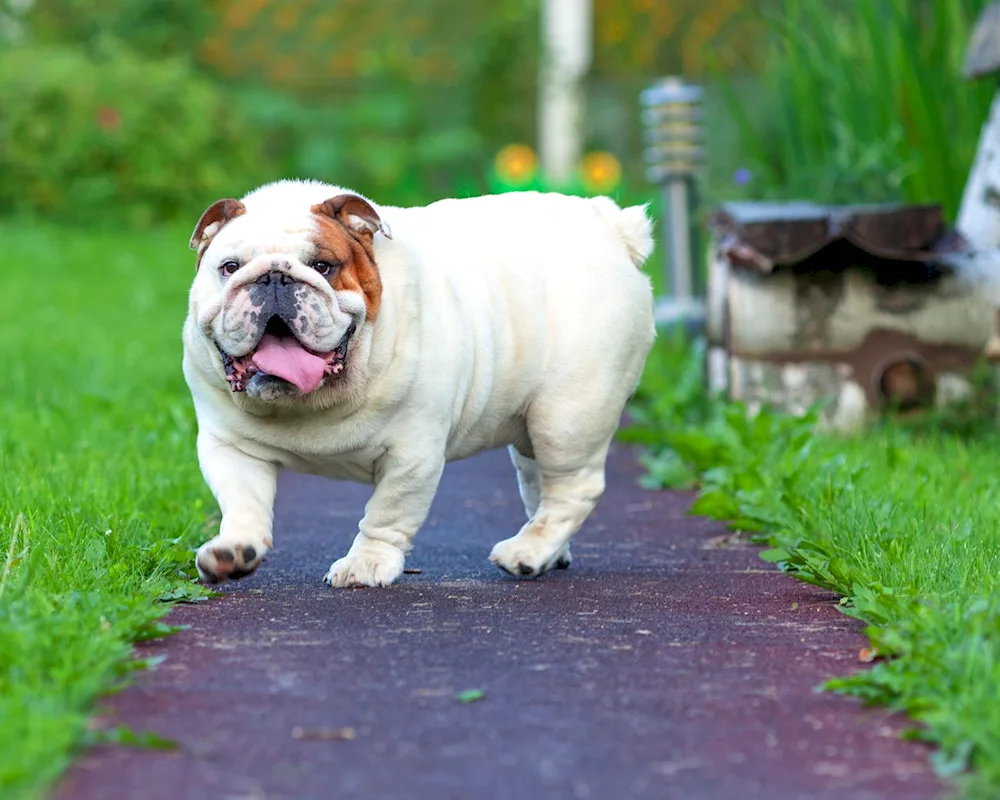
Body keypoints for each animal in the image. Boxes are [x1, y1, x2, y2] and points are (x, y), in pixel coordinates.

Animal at [183, 181, 656, 588]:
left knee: (574, 489)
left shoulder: (412, 454)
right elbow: (243, 502)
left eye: (323, 266)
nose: (274, 277)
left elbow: (387, 513)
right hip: (534, 430)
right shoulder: (229, 447)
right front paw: (233, 551)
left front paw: (365, 563)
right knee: (541, 484)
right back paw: (549, 552)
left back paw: (527, 552)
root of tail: (612, 226)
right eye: (229, 268)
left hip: (566, 418)